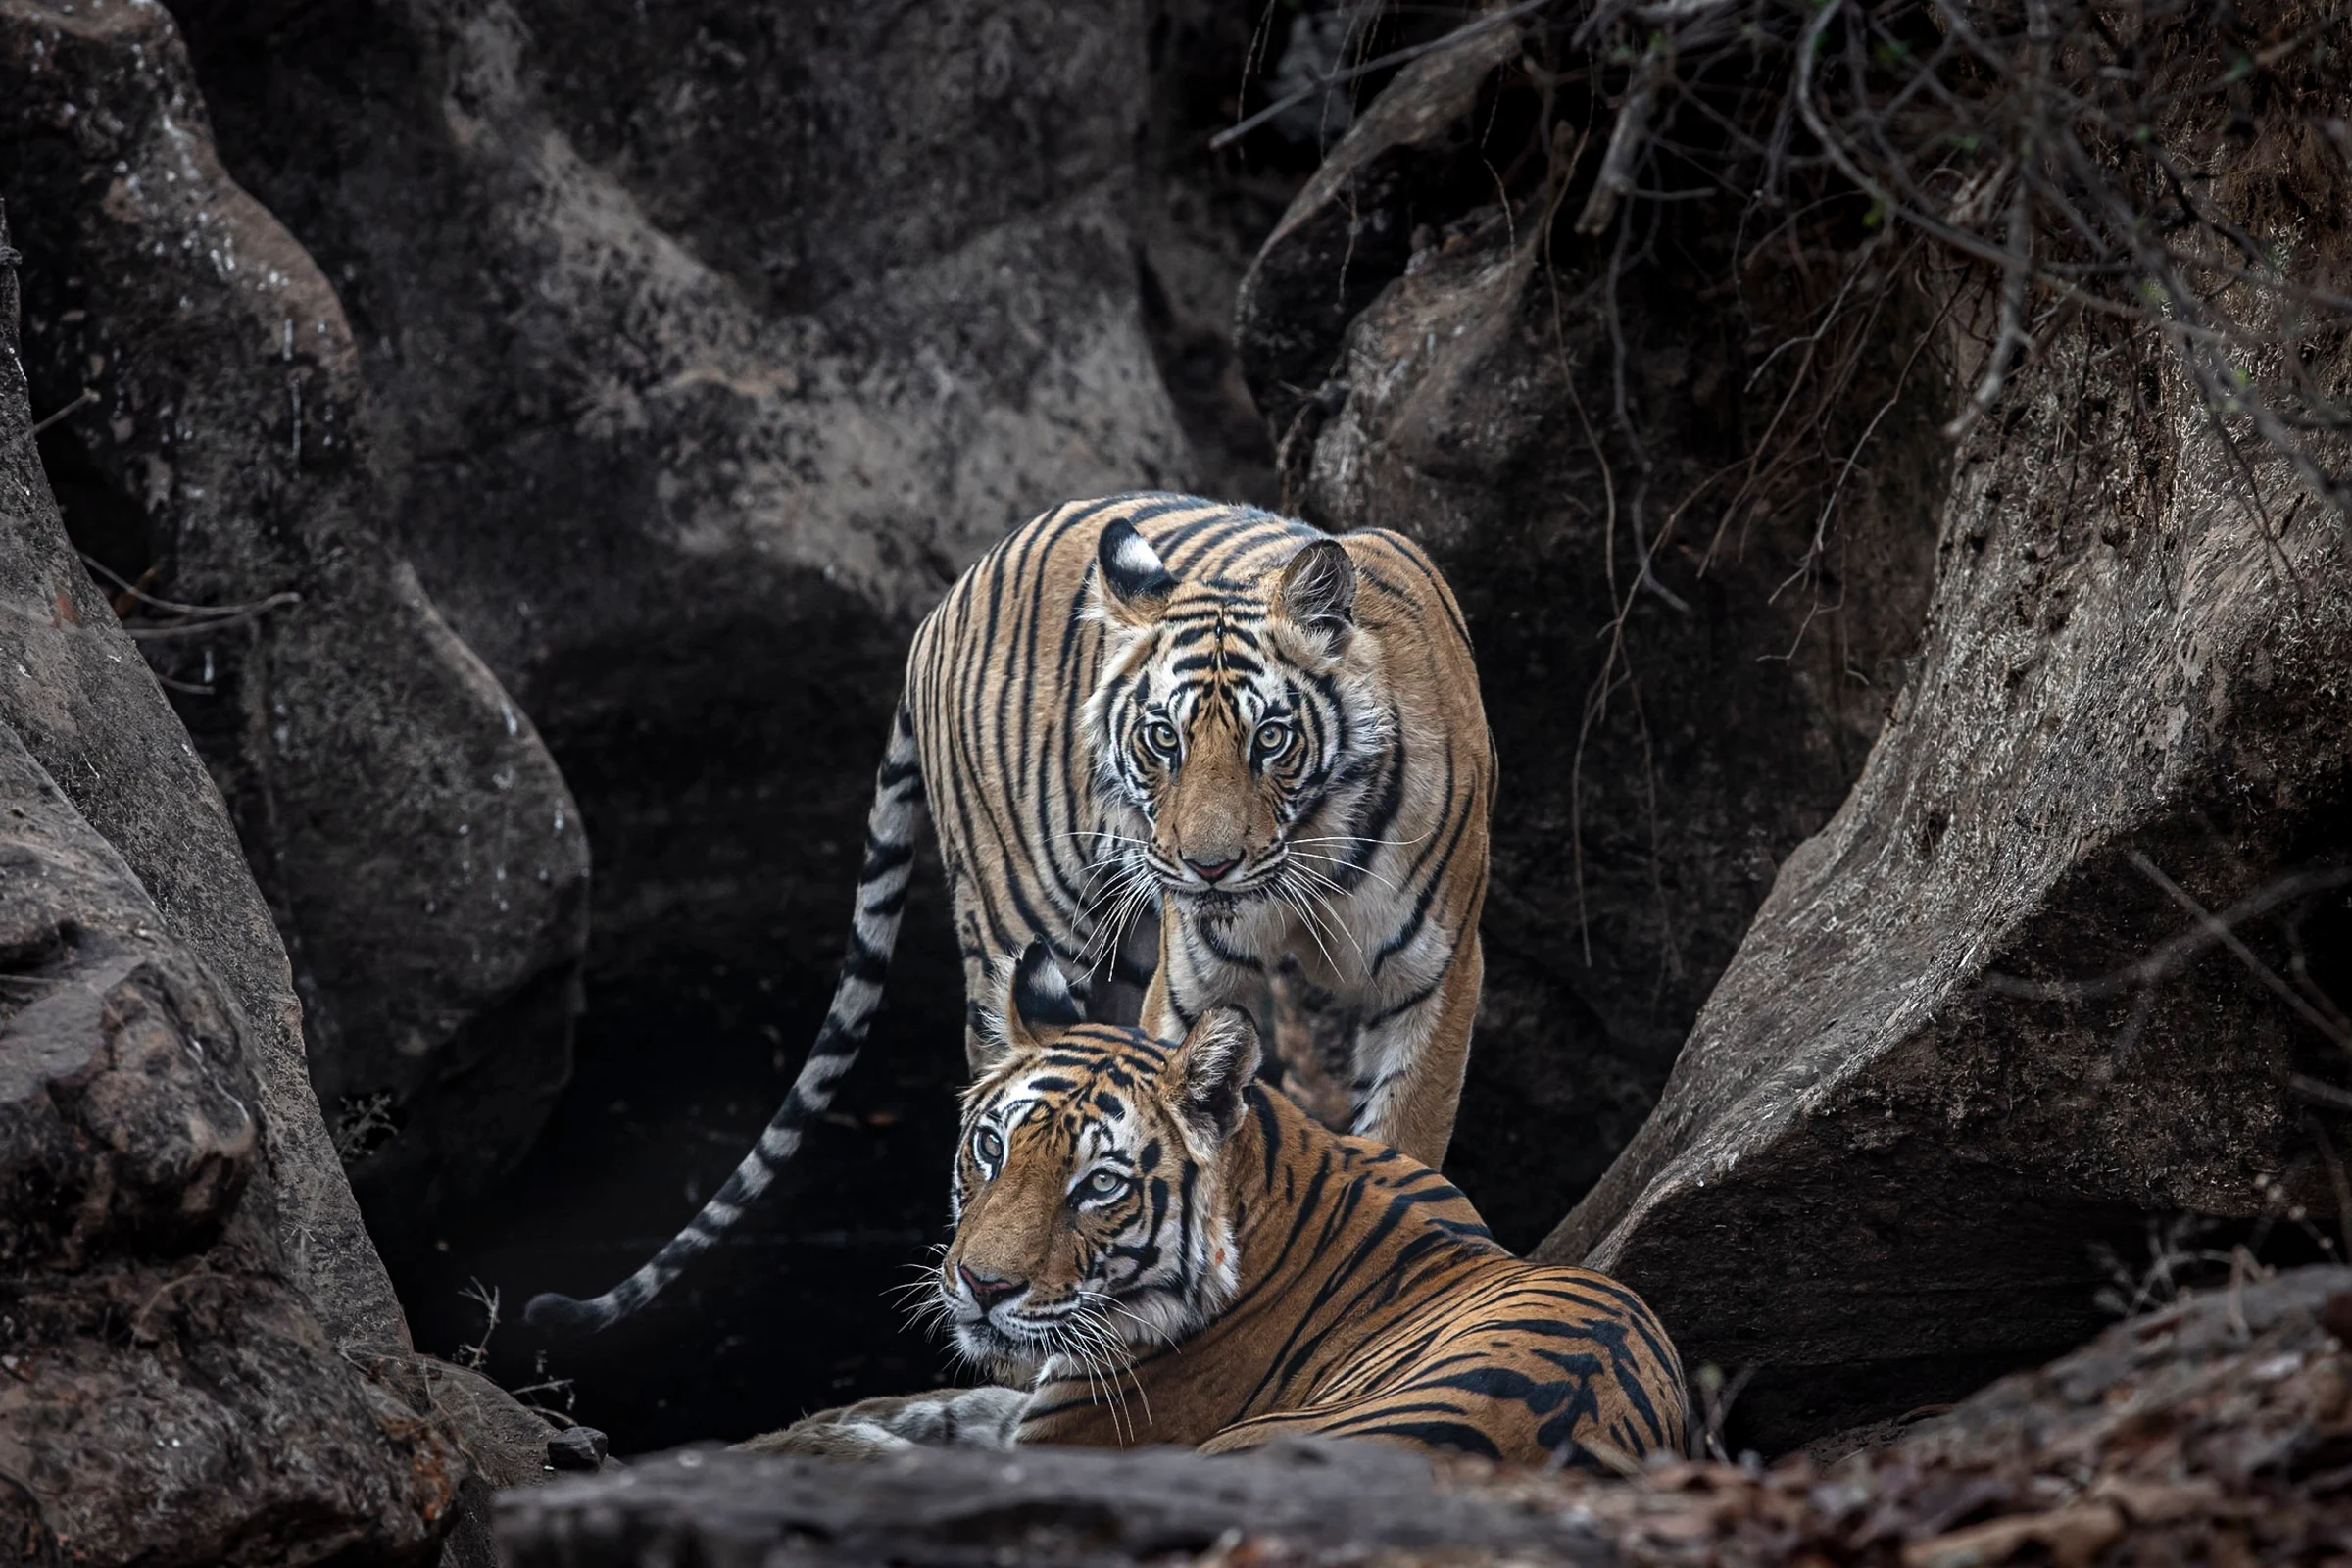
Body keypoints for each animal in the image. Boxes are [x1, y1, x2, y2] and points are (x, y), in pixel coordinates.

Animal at [526, 493, 1493, 1337]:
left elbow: (1402, 1140)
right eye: (1164, 739)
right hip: (1024, 924)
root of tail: (949, 592)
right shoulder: (1194, 981)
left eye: (1272, 740)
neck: (1310, 863)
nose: (1206, 867)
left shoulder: (1435, 981)